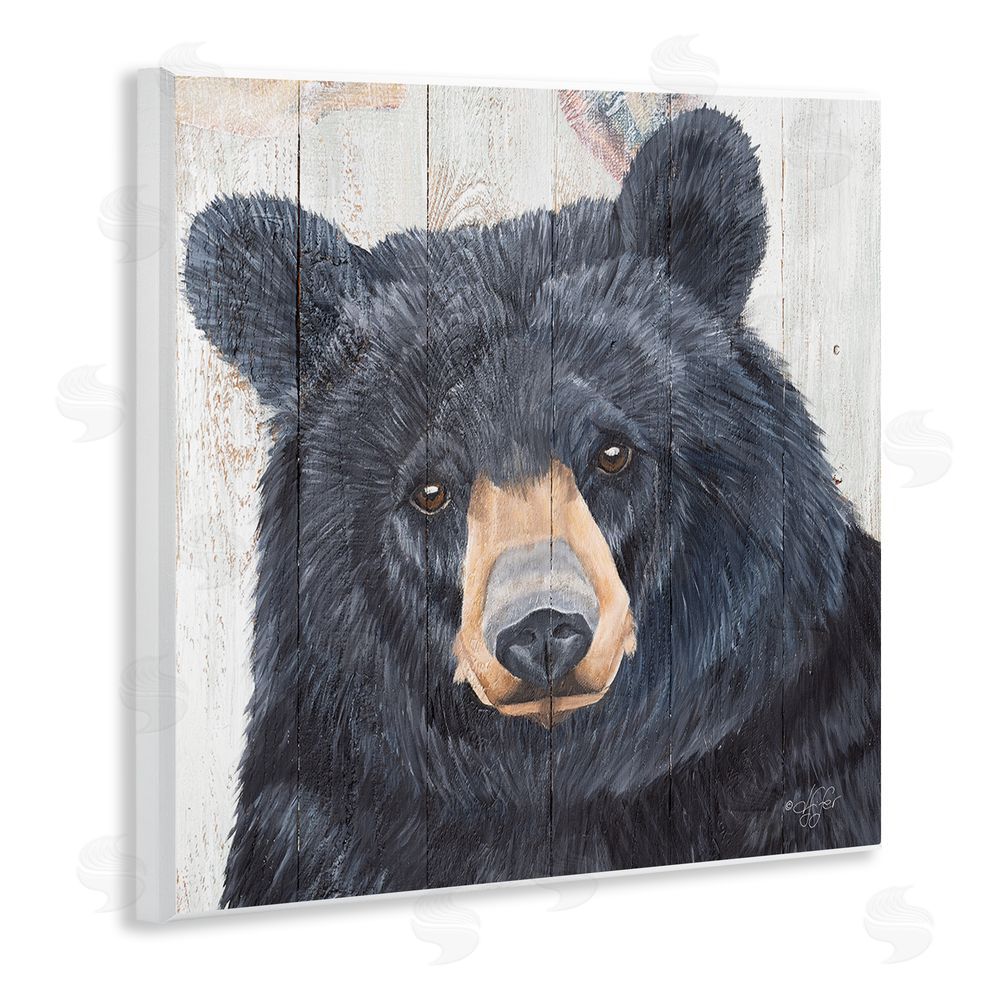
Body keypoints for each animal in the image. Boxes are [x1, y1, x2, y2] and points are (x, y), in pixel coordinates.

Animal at [184, 106, 880, 909]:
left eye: (612, 452)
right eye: (431, 491)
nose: (543, 631)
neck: (553, 779)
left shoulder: (811, 749)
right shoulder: (319, 819)